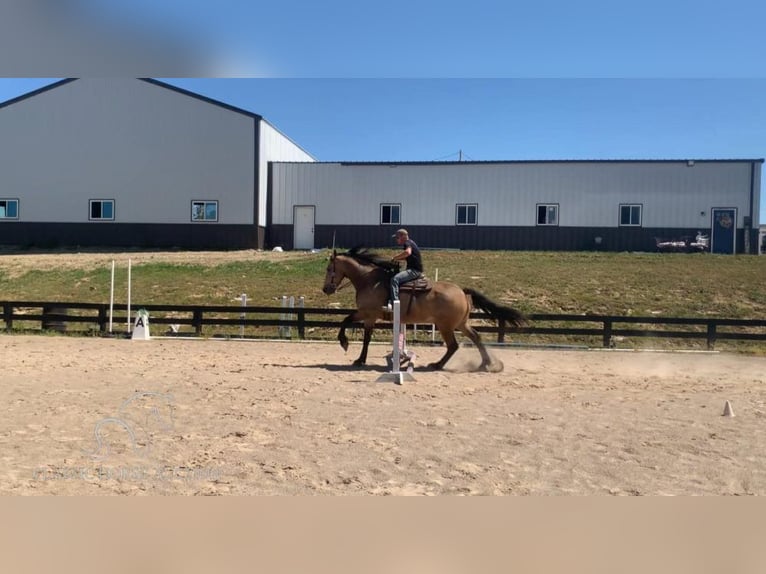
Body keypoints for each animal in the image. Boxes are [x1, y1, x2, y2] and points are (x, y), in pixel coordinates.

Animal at [322, 249, 528, 374]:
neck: (369, 280)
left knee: (453, 345)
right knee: (476, 337)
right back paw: (486, 364)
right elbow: (362, 334)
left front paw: (347, 346)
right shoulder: (369, 316)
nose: (326, 289)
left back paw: (437, 365)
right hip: (460, 324)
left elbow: (348, 323)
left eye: (329, 269)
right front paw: (359, 357)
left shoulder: (368, 314)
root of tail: (462, 291)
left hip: (445, 326)